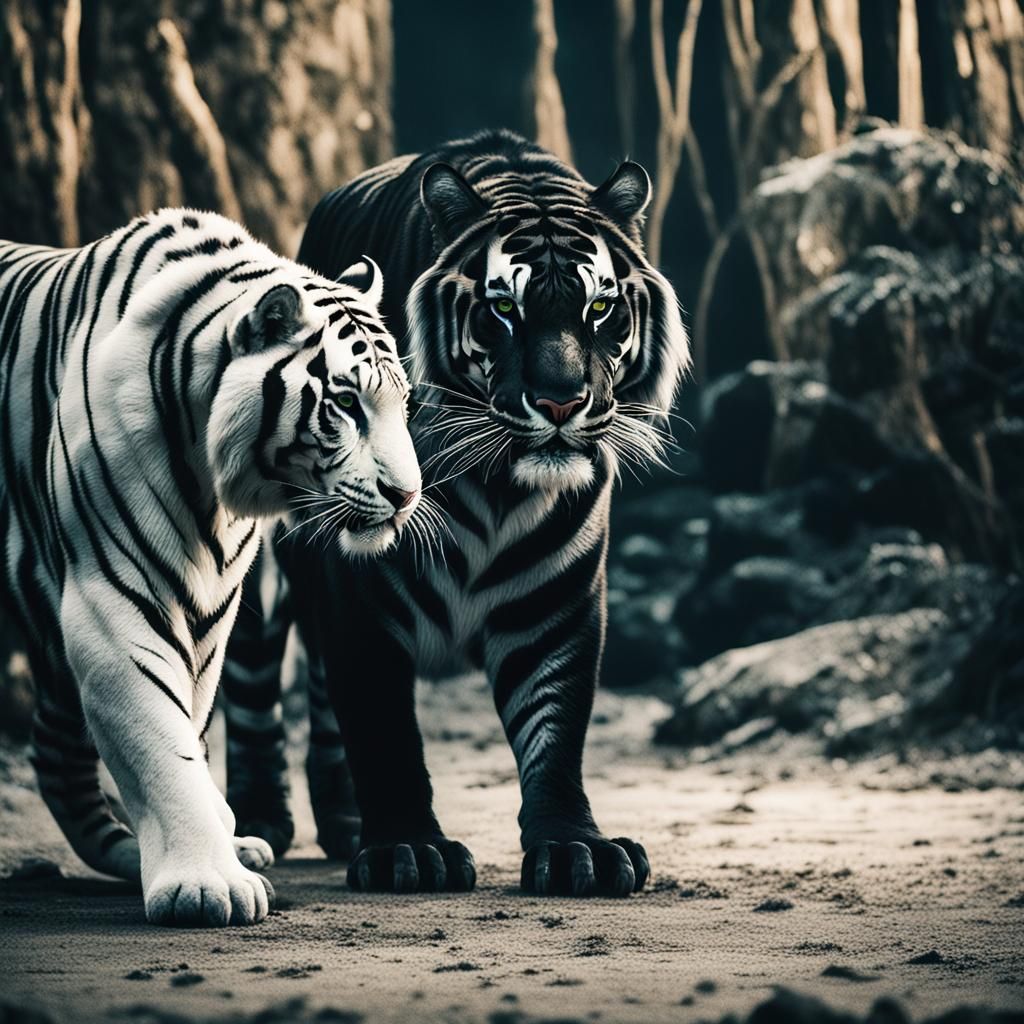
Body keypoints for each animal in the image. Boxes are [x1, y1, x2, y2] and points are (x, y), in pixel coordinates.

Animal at [0, 208, 423, 926]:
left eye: (404, 404)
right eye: (347, 405)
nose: (406, 496)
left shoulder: (208, 607)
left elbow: (186, 731)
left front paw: (212, 854)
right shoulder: (115, 599)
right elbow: (160, 740)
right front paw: (206, 885)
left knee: (55, 752)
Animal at [223, 129, 690, 896]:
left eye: (598, 309)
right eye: (504, 309)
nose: (560, 401)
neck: (497, 486)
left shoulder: (558, 595)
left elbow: (556, 722)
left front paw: (577, 848)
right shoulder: (360, 589)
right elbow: (381, 721)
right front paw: (408, 850)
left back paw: (344, 821)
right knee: (254, 680)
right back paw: (260, 819)